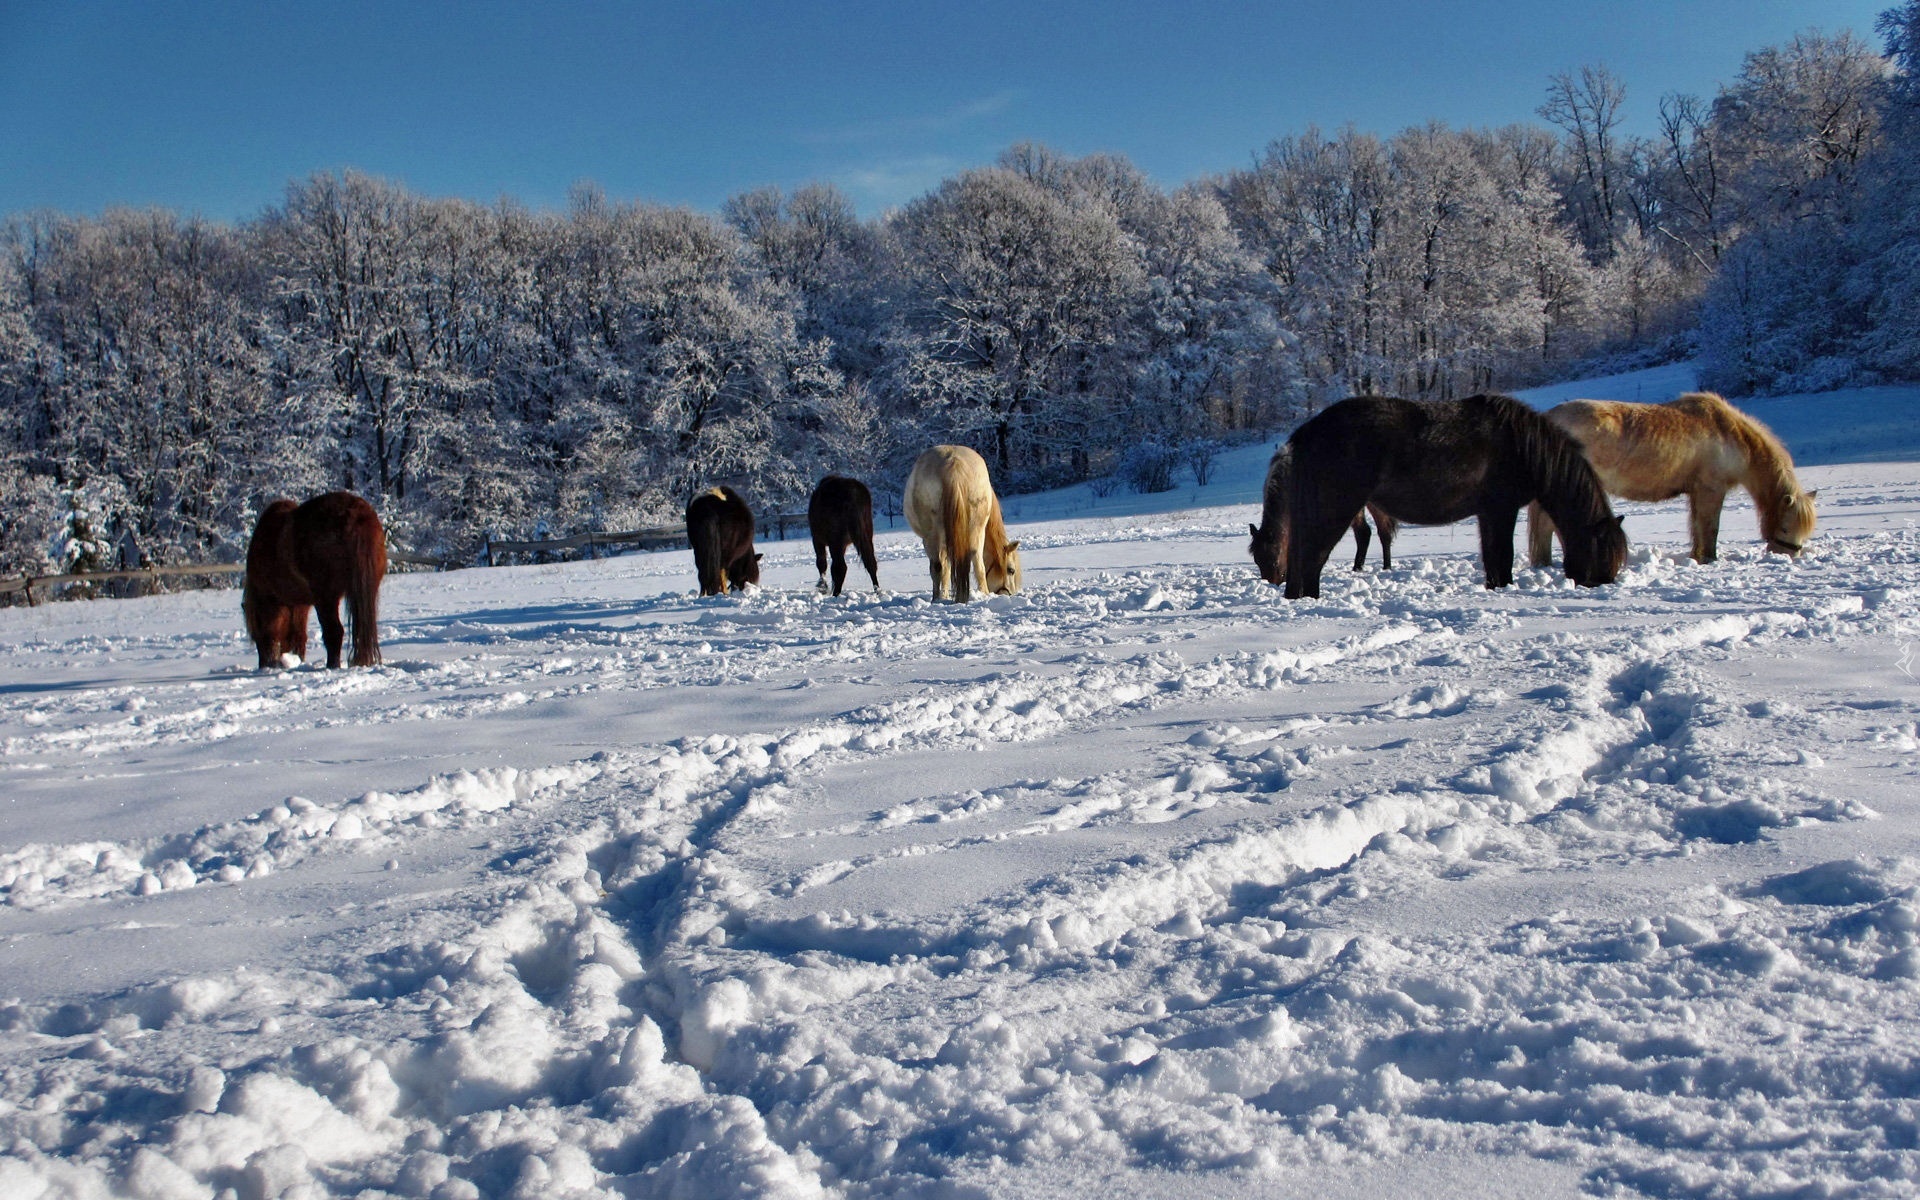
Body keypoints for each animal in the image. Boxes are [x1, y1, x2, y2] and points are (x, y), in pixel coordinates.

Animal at [241, 491, 384, 668]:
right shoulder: (300, 605)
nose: (264, 665)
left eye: (256, 632)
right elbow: (299, 636)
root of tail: (356, 514)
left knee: (334, 631)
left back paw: (332, 666)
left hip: (326, 597)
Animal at [902, 441, 1021, 599]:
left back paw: (937, 598)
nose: (1008, 594)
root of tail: (954, 463)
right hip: (976, 527)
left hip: (934, 536)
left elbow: (943, 567)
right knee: (977, 561)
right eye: (1011, 570)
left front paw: (943, 595)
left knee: (938, 566)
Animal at [1244, 441, 1397, 587]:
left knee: (1382, 532)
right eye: (1257, 561)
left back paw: (1386, 567)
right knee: (1365, 533)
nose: (1272, 584)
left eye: (1274, 560)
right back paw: (1357, 568)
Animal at [1282, 393, 1628, 599]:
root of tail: (1307, 432)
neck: (1523, 446)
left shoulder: (1488, 513)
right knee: (1312, 562)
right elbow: (1503, 558)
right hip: (1335, 512)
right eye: (1602, 553)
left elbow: (1492, 561)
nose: (1604, 585)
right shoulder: (1502, 510)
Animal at [1528, 387, 1812, 564]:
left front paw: (1697, 557)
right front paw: (1709, 559)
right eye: (1786, 526)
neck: (1731, 436)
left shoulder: (1696, 492)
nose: (1787, 556)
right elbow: (1710, 528)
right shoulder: (1711, 490)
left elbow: (1697, 528)